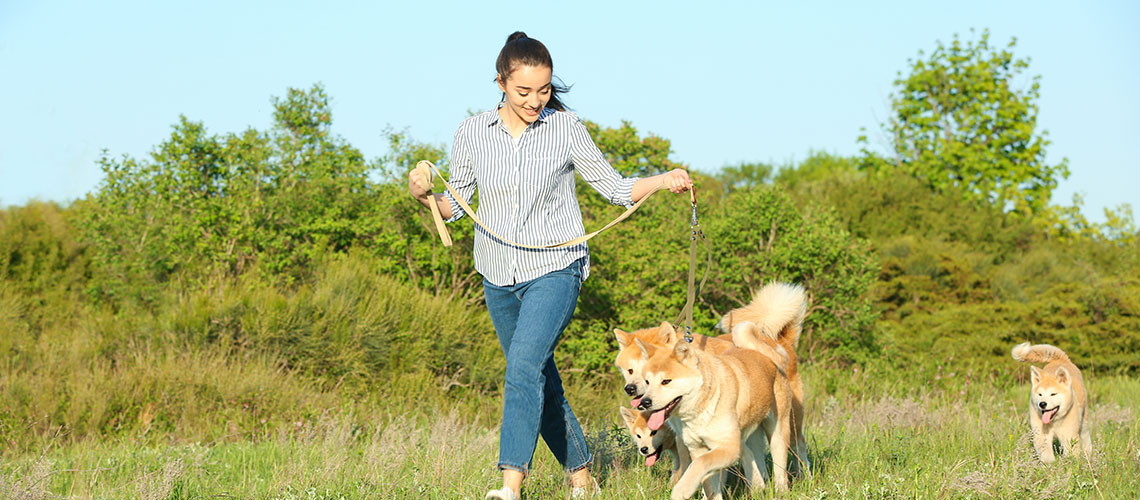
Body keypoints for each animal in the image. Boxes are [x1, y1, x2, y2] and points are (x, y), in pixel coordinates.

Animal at [633, 321, 793, 500]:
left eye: (666, 381)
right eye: (647, 381)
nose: (645, 402)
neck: (700, 409)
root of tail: (766, 354)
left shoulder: (728, 448)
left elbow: (698, 465)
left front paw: (682, 490)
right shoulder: (699, 448)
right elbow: (709, 483)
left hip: (777, 433)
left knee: (780, 470)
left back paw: (780, 491)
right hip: (749, 434)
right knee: (753, 457)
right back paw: (758, 486)